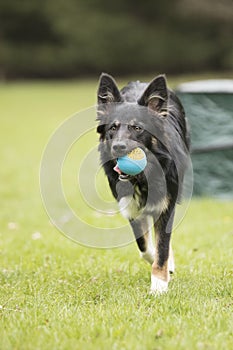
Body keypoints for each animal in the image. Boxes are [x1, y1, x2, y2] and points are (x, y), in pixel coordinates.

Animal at [96, 73, 189, 292]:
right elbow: (145, 246)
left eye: (137, 128)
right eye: (113, 127)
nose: (118, 147)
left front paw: (159, 286)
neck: (143, 177)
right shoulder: (130, 207)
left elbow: (162, 246)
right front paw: (162, 270)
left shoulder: (165, 206)